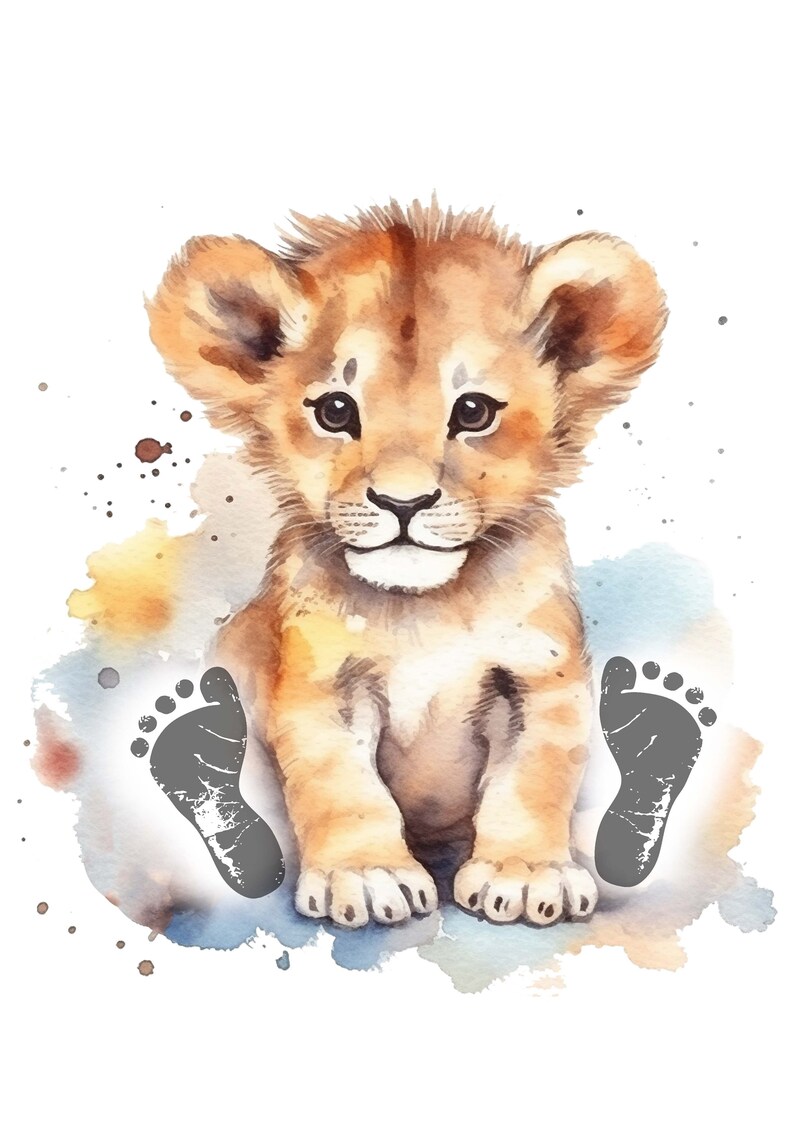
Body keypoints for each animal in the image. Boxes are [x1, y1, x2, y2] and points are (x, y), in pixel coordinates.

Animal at [147, 199, 667, 929]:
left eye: (473, 411)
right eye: (336, 410)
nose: (403, 501)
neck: (428, 606)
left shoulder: (539, 681)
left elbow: (532, 779)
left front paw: (526, 873)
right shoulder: (321, 688)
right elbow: (341, 786)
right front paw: (367, 876)